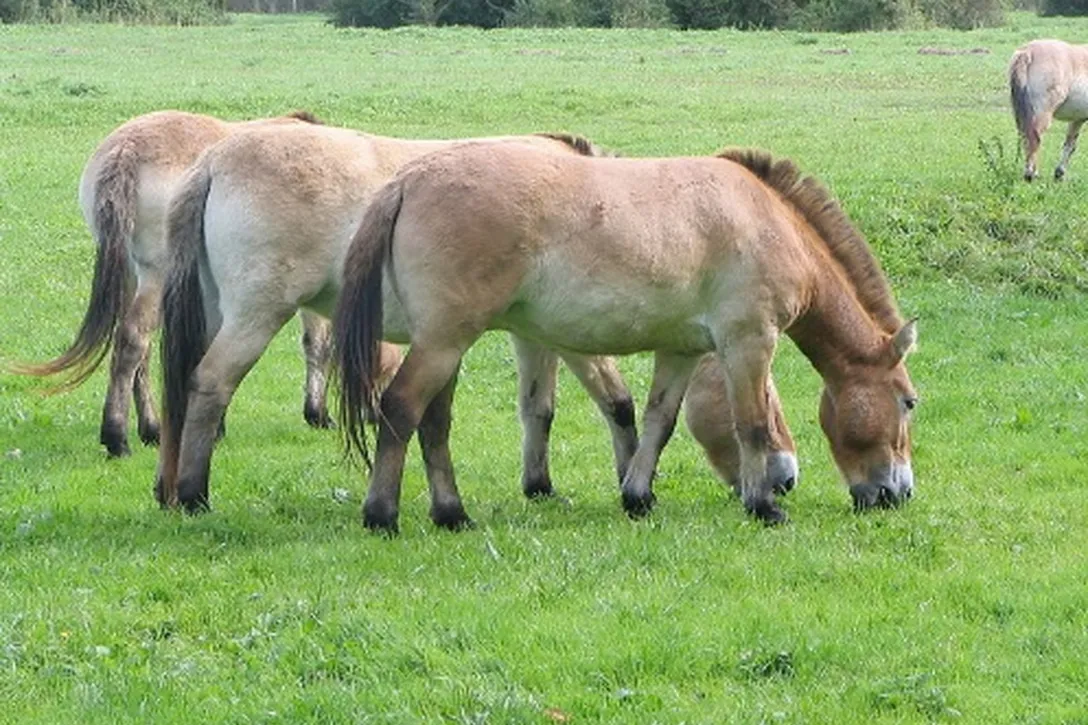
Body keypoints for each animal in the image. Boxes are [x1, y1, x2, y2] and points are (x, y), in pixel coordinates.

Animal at [8, 109, 334, 458]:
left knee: (140, 351)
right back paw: (117, 437)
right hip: (158, 276)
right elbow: (316, 342)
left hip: (133, 275)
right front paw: (317, 413)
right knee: (133, 340)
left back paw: (150, 429)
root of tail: (126, 149)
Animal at [155, 121, 800, 517]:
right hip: (258, 313)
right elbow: (616, 402)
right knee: (211, 383)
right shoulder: (572, 335)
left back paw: (169, 490)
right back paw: (194, 494)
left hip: (217, 311)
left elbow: (541, 408)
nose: (786, 477)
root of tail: (215, 160)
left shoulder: (531, 333)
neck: (599, 198)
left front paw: (543, 485)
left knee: (181, 389)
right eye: (770, 400)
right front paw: (630, 478)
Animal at [333, 143, 918, 532]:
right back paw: (382, 514)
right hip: (443, 342)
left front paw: (638, 496)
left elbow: (659, 421)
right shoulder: (748, 342)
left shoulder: (681, 351)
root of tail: (410, 180)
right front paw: (764, 506)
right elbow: (750, 425)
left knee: (434, 423)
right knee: (401, 408)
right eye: (909, 402)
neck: (766, 220)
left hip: (447, 346)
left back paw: (451, 513)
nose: (899, 492)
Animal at [1010, 39, 1088, 181]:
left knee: (1025, 137)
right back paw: (1031, 174)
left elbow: (1070, 144)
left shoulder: (1078, 119)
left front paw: (1059, 173)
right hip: (1041, 115)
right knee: (1034, 139)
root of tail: (1028, 52)